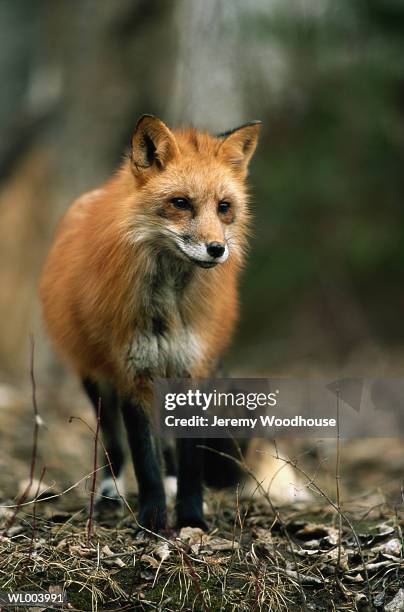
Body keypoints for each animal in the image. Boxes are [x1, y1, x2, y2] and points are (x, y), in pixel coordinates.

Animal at [40, 115, 262, 532]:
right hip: (95, 381)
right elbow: (144, 459)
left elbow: (189, 460)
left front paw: (191, 517)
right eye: (180, 203)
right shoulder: (132, 372)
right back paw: (109, 494)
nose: (216, 249)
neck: (170, 310)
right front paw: (153, 521)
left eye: (224, 207)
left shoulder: (193, 369)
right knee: (113, 445)